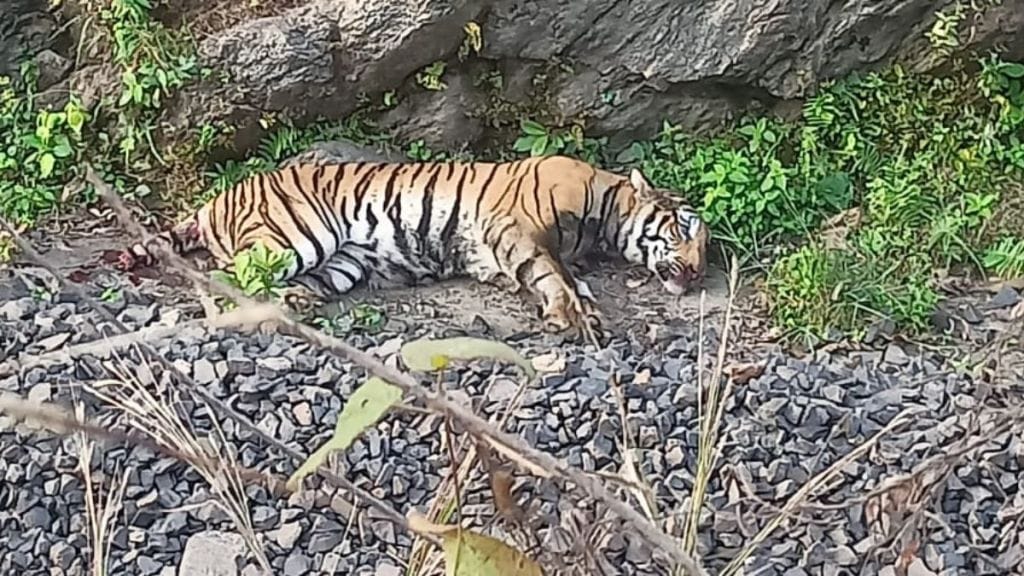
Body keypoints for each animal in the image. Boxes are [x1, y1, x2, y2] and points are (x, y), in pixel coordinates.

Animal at [116, 154, 708, 338]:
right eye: (684, 230)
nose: (700, 273)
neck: (605, 218)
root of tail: (218, 197)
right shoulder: (517, 226)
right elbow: (551, 272)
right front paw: (573, 314)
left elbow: (561, 274)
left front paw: (581, 303)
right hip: (292, 239)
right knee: (221, 278)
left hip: (343, 263)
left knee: (286, 289)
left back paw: (292, 308)